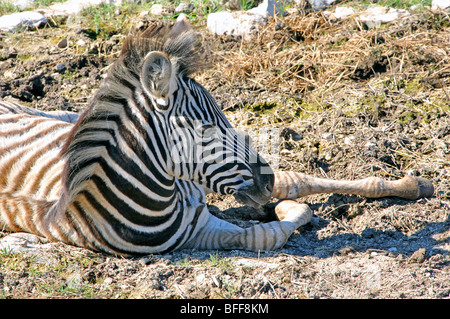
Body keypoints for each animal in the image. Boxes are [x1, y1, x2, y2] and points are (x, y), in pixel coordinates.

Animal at [0, 18, 436, 258]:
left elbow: (297, 180)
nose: (267, 181)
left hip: (54, 114)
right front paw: (283, 210)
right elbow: (268, 233)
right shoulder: (201, 233)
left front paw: (410, 184)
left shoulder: (199, 195)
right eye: (207, 128)